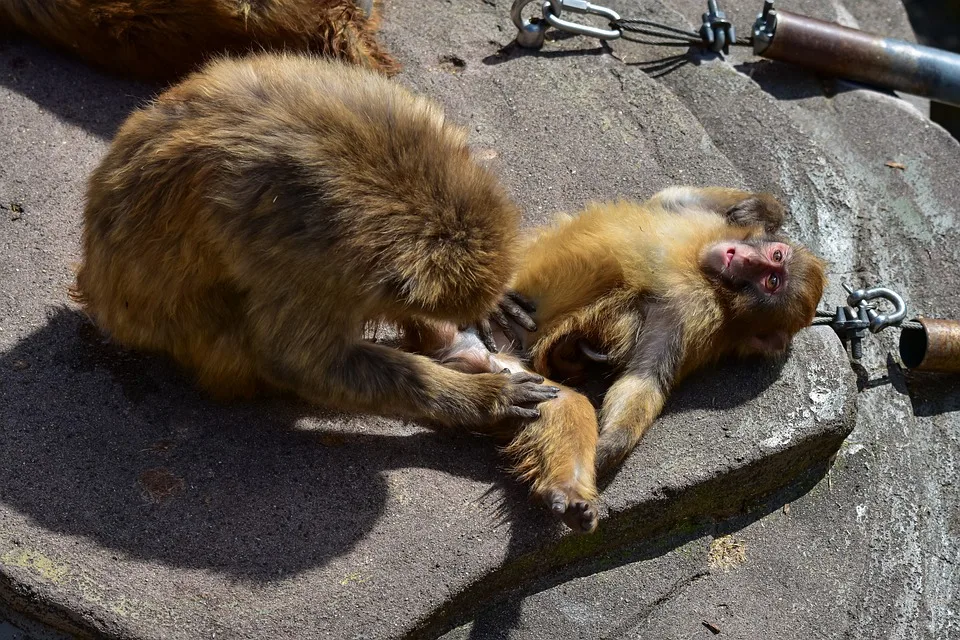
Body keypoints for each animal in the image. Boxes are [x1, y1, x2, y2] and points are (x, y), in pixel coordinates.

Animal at [484, 185, 828, 476]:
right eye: (776, 257)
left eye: (771, 281)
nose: (743, 258)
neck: (706, 274)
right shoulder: (704, 223)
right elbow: (671, 196)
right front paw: (761, 210)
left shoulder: (688, 315)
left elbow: (645, 378)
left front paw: (607, 448)